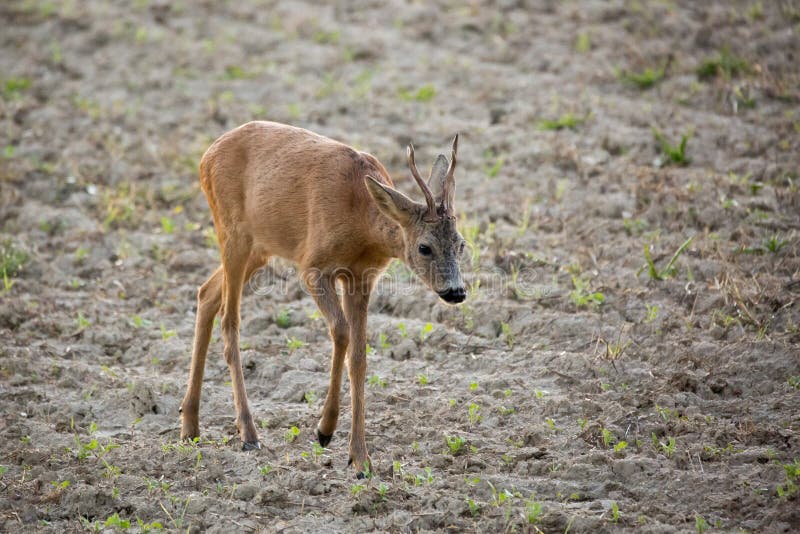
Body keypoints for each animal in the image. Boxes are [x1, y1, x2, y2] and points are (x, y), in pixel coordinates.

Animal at [180, 123, 468, 480]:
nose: (456, 291)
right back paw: (248, 433)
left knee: (206, 293)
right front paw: (324, 429)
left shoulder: (361, 278)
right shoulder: (313, 266)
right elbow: (341, 331)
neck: (360, 218)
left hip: (260, 248)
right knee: (229, 318)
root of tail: (207, 155)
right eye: (424, 247)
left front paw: (360, 459)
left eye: (461, 244)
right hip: (232, 232)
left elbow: (359, 356)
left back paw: (190, 426)